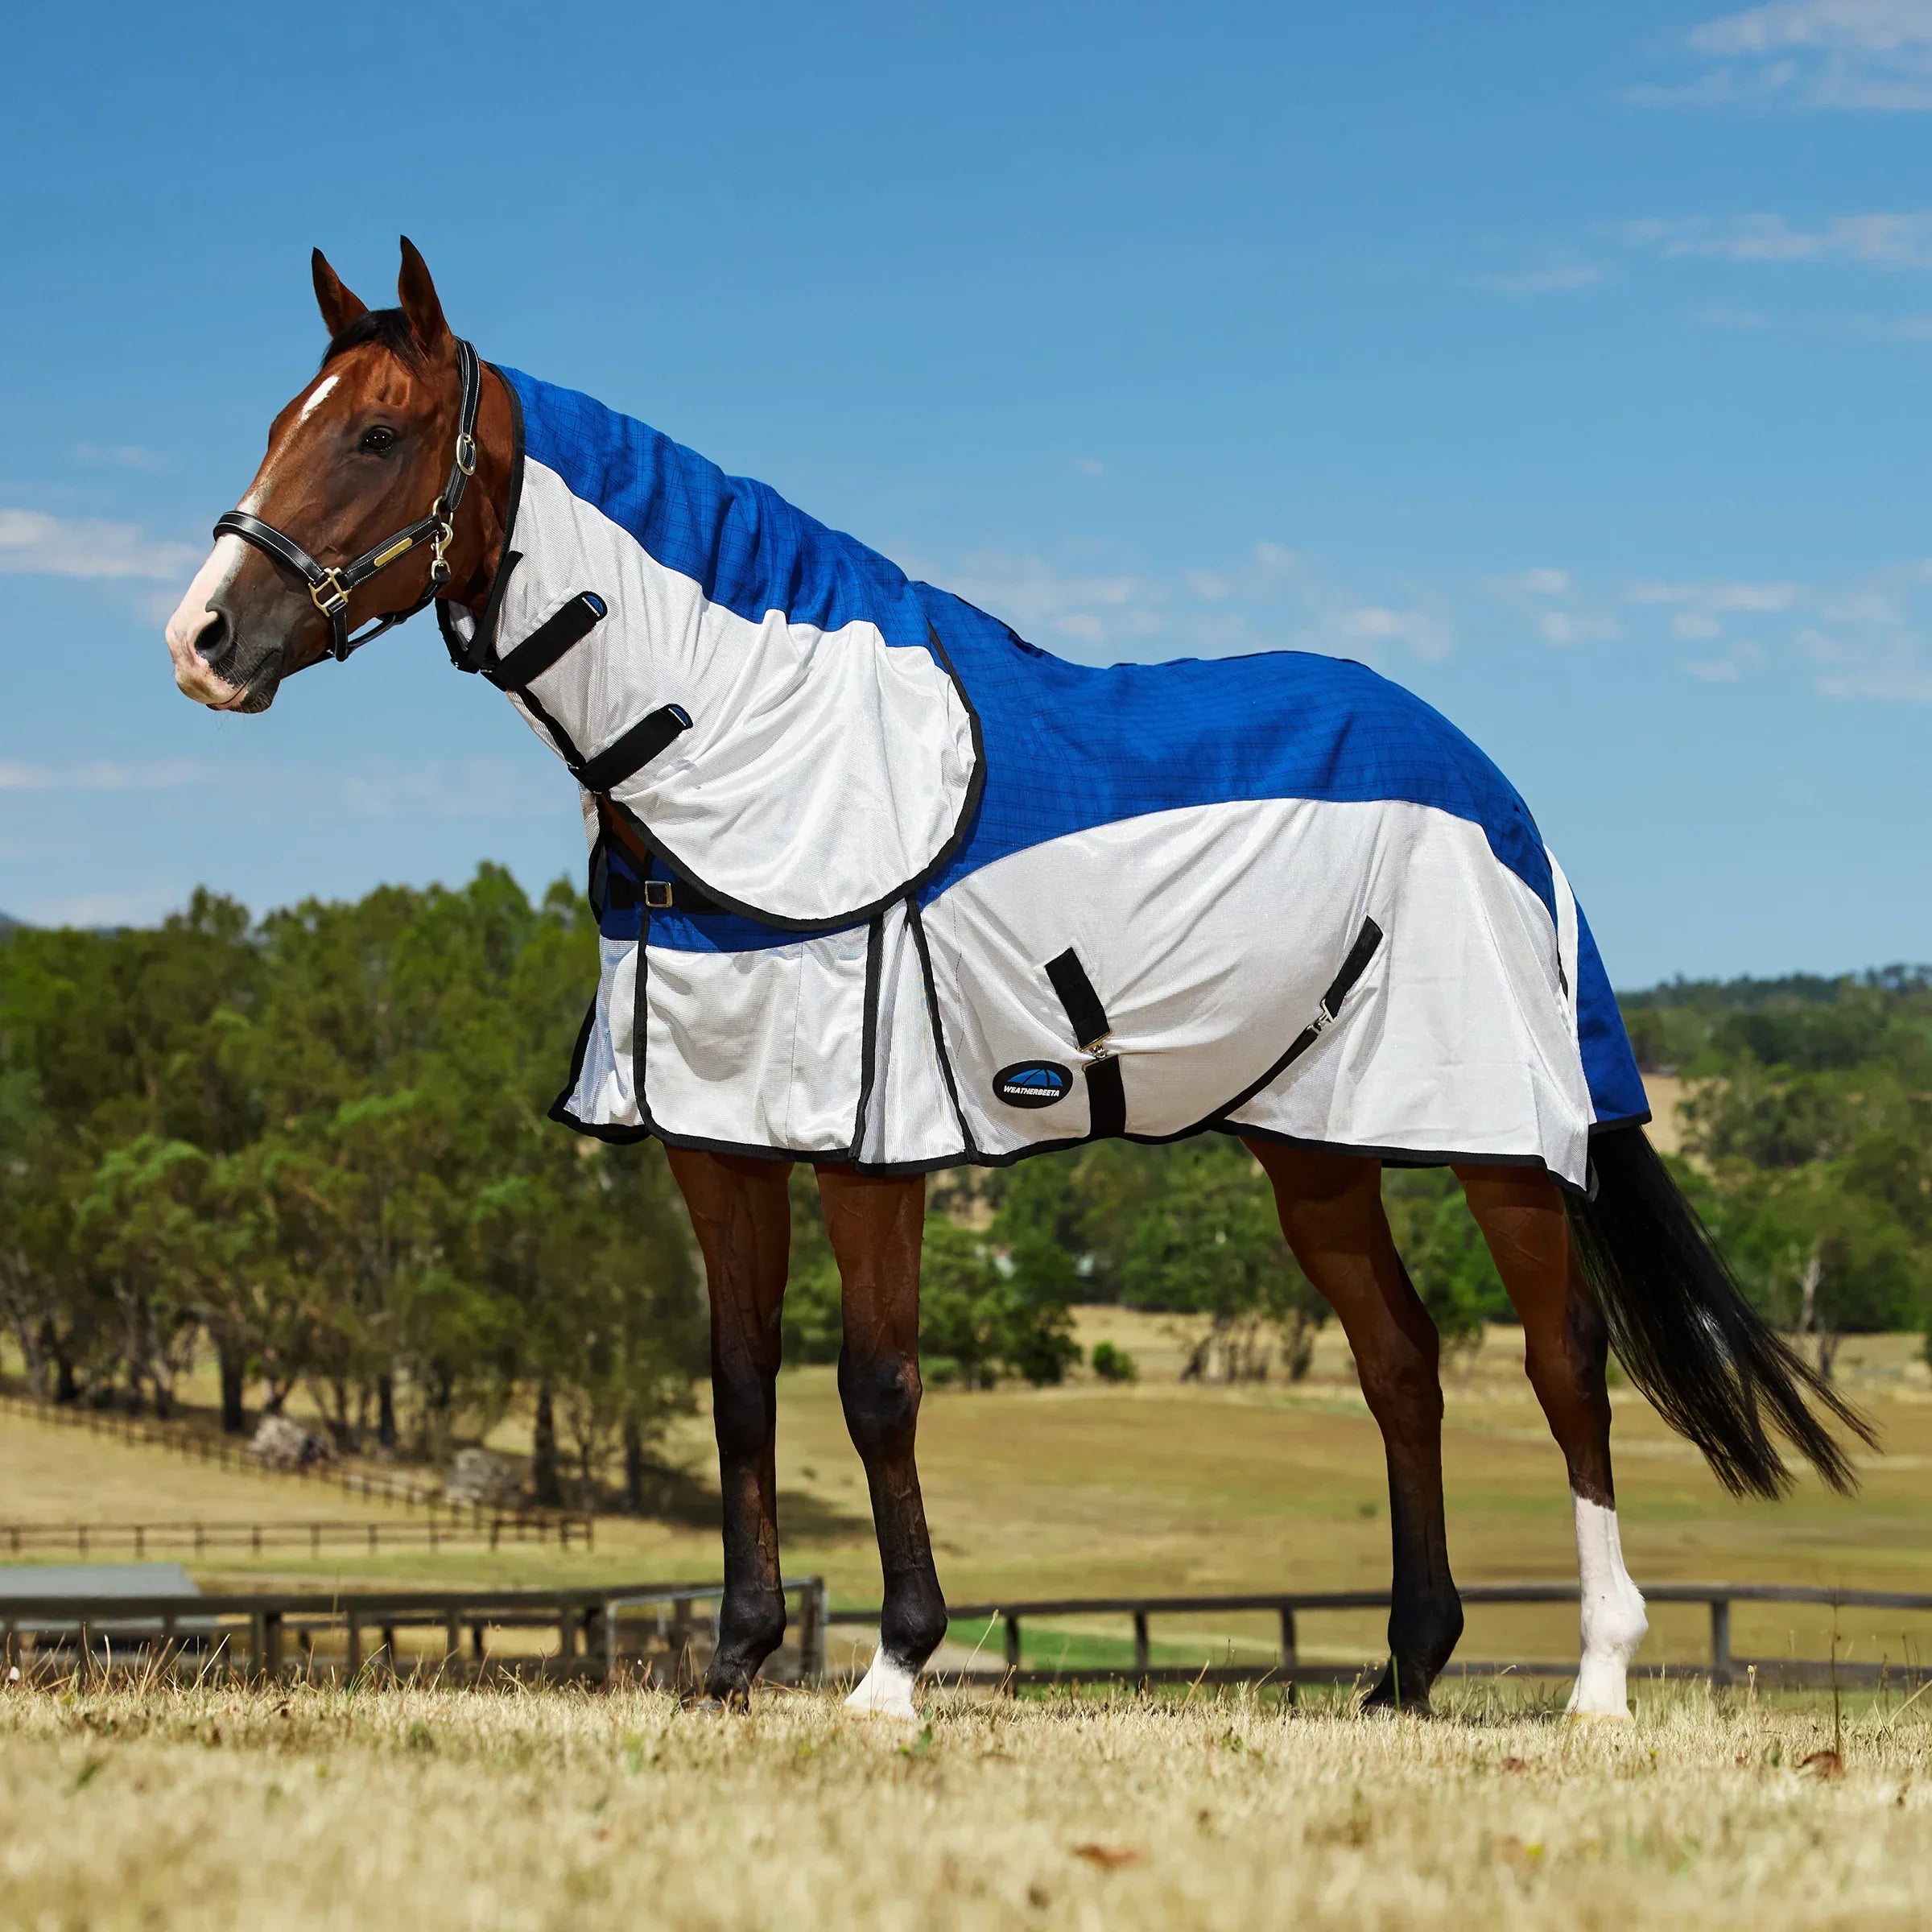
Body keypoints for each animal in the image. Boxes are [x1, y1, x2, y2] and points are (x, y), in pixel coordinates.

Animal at [164, 239, 1869, 1720]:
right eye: (282, 423)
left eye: (377, 433)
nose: (203, 640)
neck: (754, 743)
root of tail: (1494, 786)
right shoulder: (720, 1137)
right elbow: (736, 1383)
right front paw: (732, 1661)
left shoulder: (876, 1145)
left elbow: (876, 1383)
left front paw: (893, 1667)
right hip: (1315, 1151)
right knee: (1400, 1368)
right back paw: (1402, 1671)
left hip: (1500, 1139)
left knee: (1563, 1365)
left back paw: (1597, 1681)